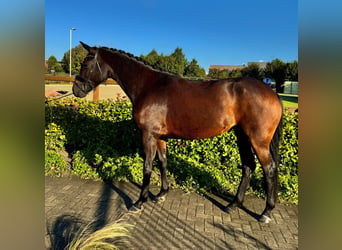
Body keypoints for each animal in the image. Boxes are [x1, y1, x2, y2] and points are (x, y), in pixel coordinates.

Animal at [73, 42, 284, 224]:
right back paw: (233, 205)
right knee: (248, 166)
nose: (76, 90)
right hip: (242, 136)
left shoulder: (148, 135)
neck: (149, 86)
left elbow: (147, 167)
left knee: (269, 169)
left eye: (85, 64)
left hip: (258, 140)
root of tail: (272, 92)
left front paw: (140, 202)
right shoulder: (159, 137)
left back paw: (266, 213)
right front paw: (161, 194)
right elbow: (163, 162)